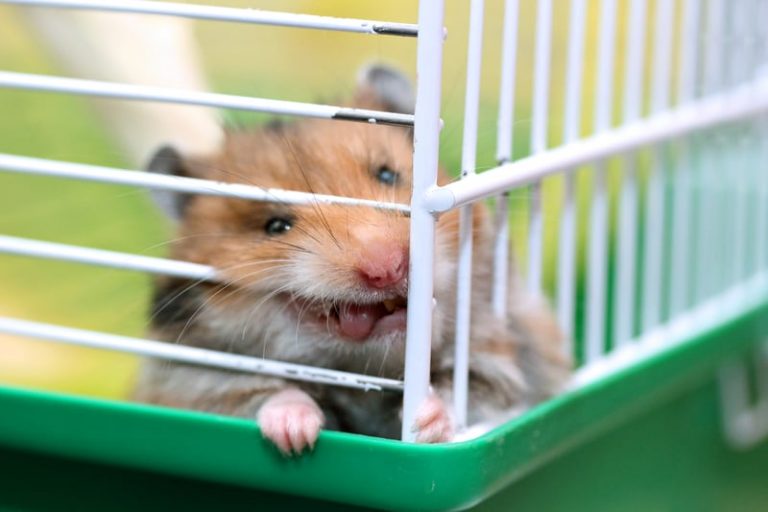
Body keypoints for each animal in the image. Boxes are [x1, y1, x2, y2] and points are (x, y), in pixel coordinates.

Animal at [132, 65, 571, 455]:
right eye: (275, 226)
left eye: (388, 175)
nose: (386, 267)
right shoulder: (193, 380)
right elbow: (264, 392)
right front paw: (295, 436)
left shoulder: (501, 358)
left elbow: (474, 394)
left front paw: (423, 421)